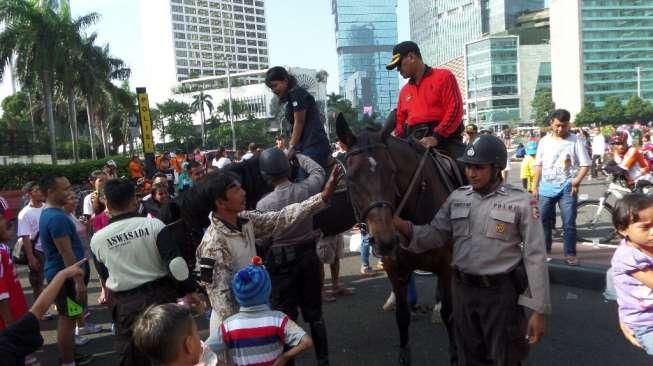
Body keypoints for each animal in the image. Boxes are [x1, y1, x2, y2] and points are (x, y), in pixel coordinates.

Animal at [336, 113, 458, 364]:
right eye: (351, 178)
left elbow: (449, 314)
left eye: (392, 172)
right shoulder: (394, 268)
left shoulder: (445, 265)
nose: (385, 241)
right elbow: (402, 317)